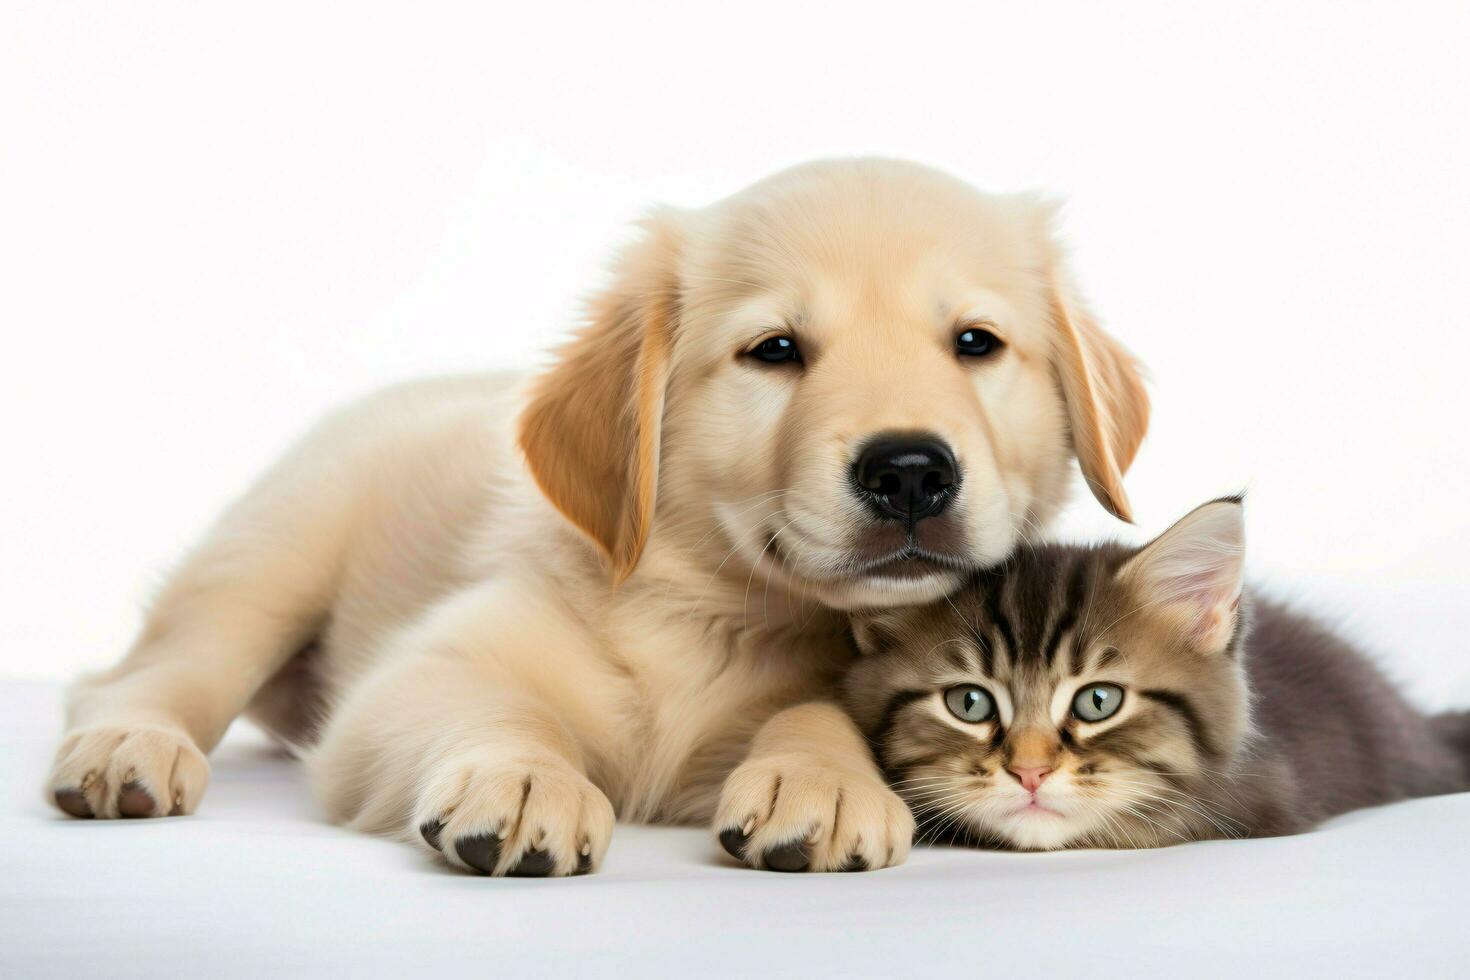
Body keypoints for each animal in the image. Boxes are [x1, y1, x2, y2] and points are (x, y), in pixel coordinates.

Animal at [45, 157, 1146, 875]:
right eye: (776, 350)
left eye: (976, 342)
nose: (911, 471)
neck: (720, 617)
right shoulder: (415, 675)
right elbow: (492, 703)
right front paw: (526, 779)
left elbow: (818, 706)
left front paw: (819, 778)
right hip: (274, 550)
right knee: (150, 671)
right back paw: (126, 751)